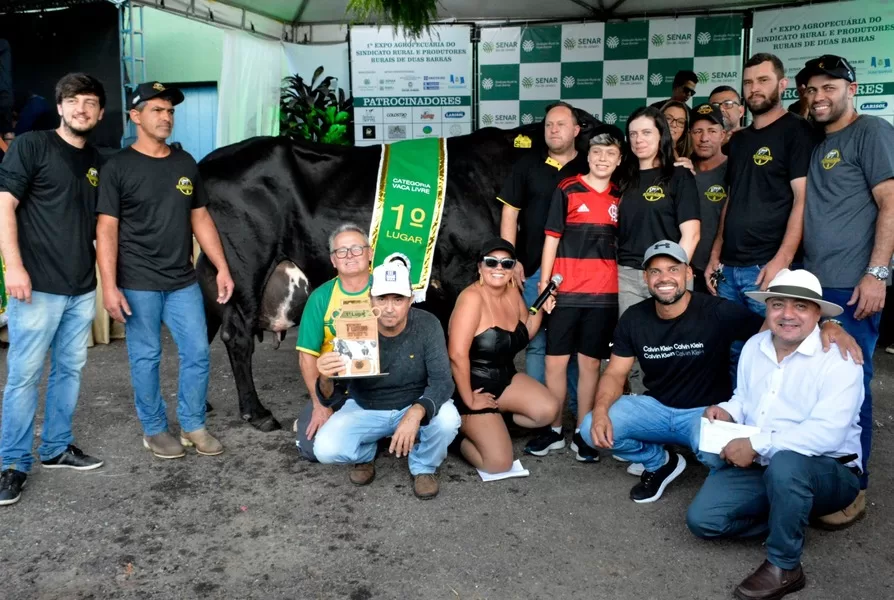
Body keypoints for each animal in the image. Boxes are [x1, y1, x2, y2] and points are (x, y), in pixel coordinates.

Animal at [197, 113, 600, 432]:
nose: (606, 144)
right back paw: (257, 412)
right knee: (237, 337)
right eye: (586, 126)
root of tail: (212, 161)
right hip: (245, 268)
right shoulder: (461, 273)